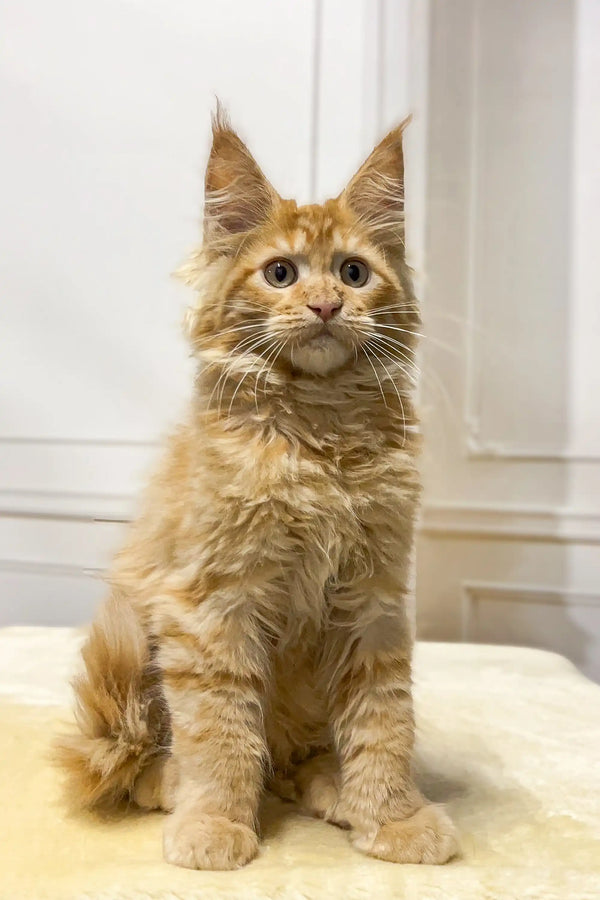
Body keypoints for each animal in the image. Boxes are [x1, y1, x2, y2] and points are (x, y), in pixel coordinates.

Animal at [57, 109, 460, 868]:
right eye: (281, 273)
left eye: (354, 272)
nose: (327, 304)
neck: (319, 437)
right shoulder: (210, 604)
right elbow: (221, 731)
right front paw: (216, 823)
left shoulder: (373, 601)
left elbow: (384, 720)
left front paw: (392, 816)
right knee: (146, 753)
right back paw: (173, 783)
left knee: (297, 756)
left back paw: (329, 785)